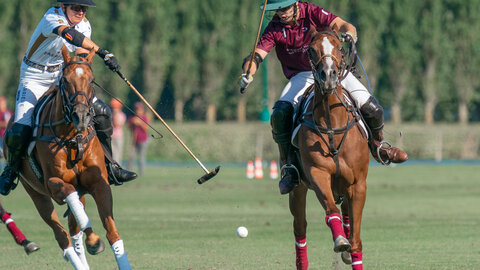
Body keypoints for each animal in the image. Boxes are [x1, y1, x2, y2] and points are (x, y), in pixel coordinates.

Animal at [13, 46, 130, 270]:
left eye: (92, 80)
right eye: (65, 80)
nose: (82, 117)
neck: (72, 138)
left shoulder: (99, 183)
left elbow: (112, 233)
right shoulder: (53, 183)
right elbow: (72, 201)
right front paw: (94, 241)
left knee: (74, 231)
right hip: (36, 194)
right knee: (63, 236)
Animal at [288, 28, 372, 268]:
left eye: (340, 47)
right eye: (311, 50)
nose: (328, 76)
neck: (332, 124)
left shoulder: (358, 184)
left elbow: (357, 241)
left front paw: (350, 249)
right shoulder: (318, 173)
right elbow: (331, 211)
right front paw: (341, 242)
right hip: (297, 189)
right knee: (300, 227)